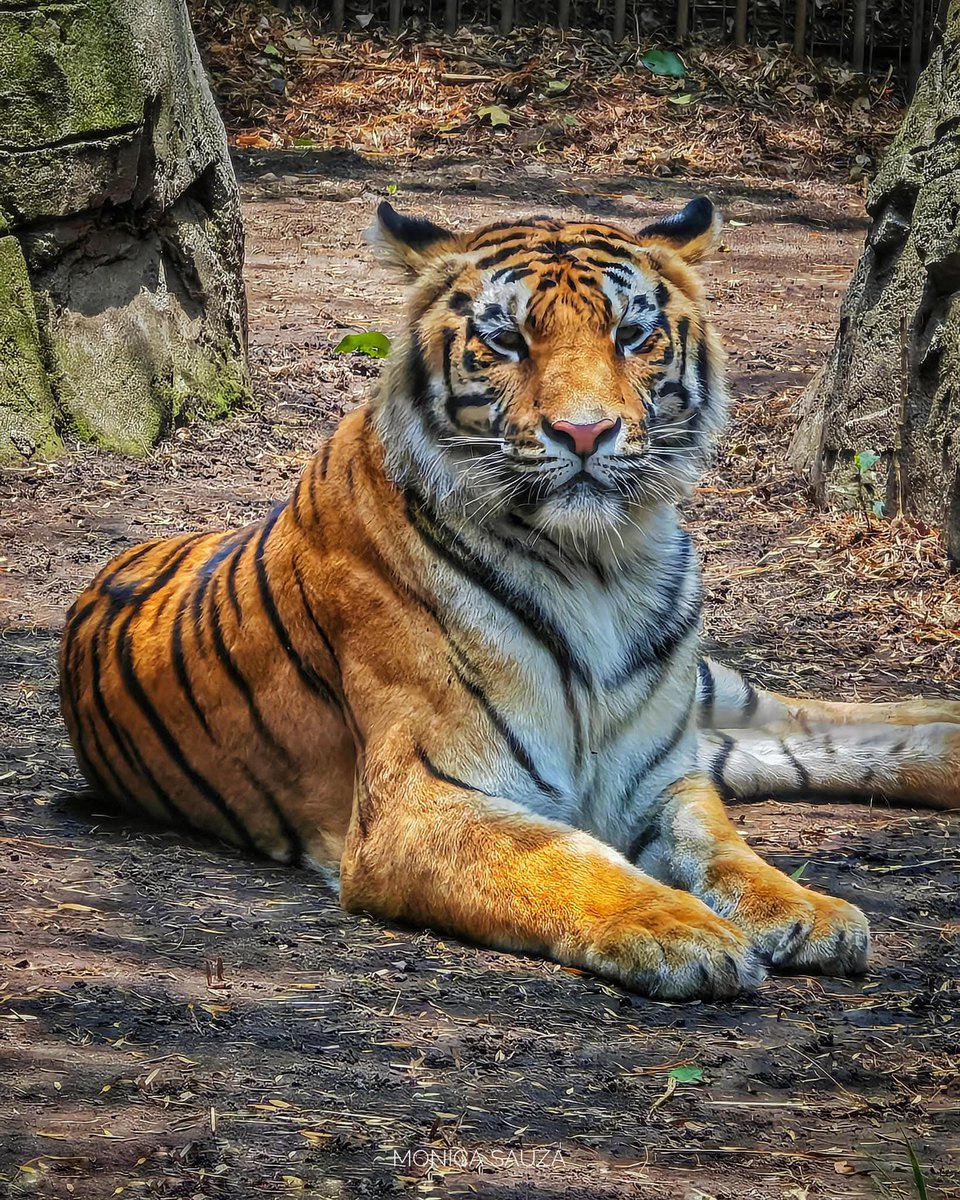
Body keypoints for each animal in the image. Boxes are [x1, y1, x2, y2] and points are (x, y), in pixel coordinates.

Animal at [59, 198, 960, 1002]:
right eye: (505, 340)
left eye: (633, 336)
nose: (585, 433)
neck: (603, 568)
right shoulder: (422, 803)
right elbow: (569, 861)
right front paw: (681, 931)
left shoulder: (661, 777)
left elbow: (730, 854)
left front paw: (806, 908)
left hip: (703, 692)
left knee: (814, 715)